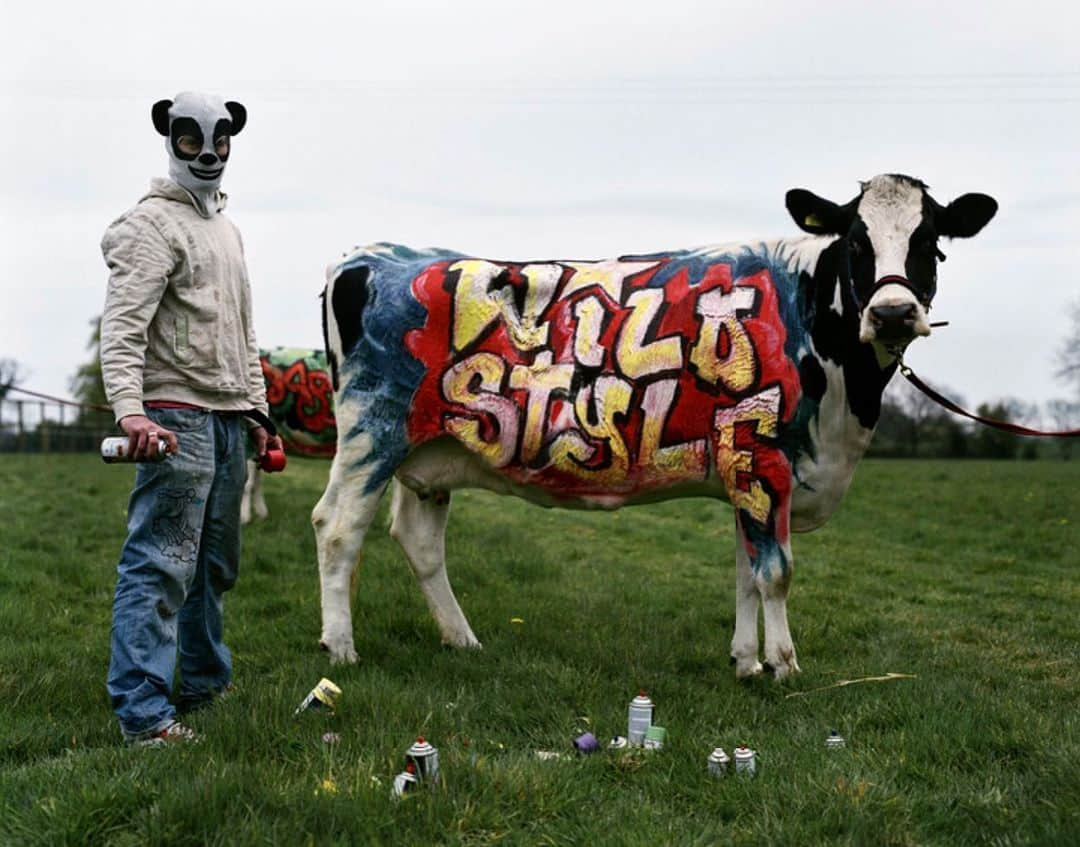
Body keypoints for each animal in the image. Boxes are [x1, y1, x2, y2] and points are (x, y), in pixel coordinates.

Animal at [311, 175, 993, 678]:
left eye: (930, 243)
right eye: (855, 242)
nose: (894, 312)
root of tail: (366, 256)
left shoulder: (742, 463)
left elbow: (746, 570)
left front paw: (747, 663)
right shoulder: (763, 451)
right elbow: (775, 573)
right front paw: (785, 665)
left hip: (427, 454)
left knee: (419, 542)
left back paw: (462, 640)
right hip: (373, 430)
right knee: (337, 527)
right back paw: (340, 648)